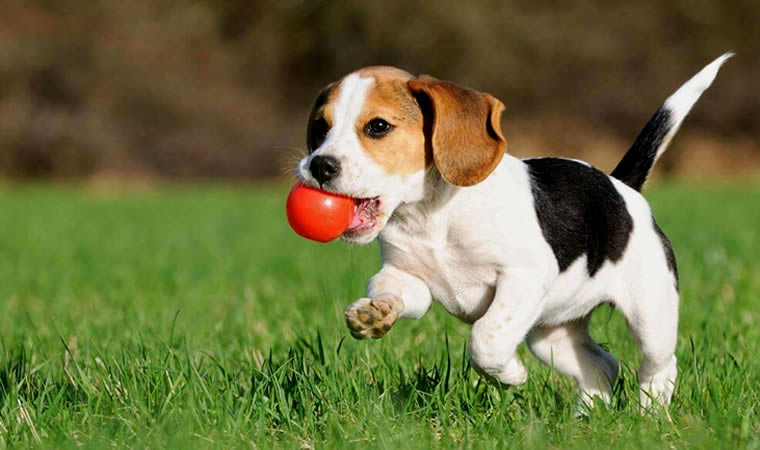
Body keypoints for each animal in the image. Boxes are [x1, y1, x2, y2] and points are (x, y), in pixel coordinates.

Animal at [296, 53, 732, 412]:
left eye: (378, 127)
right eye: (320, 128)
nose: (319, 165)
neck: (430, 215)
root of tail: (620, 185)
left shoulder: (523, 276)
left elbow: (486, 338)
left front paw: (510, 375)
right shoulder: (409, 278)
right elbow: (391, 290)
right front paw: (374, 313)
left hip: (651, 315)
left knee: (659, 367)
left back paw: (649, 416)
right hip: (551, 335)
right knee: (602, 366)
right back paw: (586, 420)